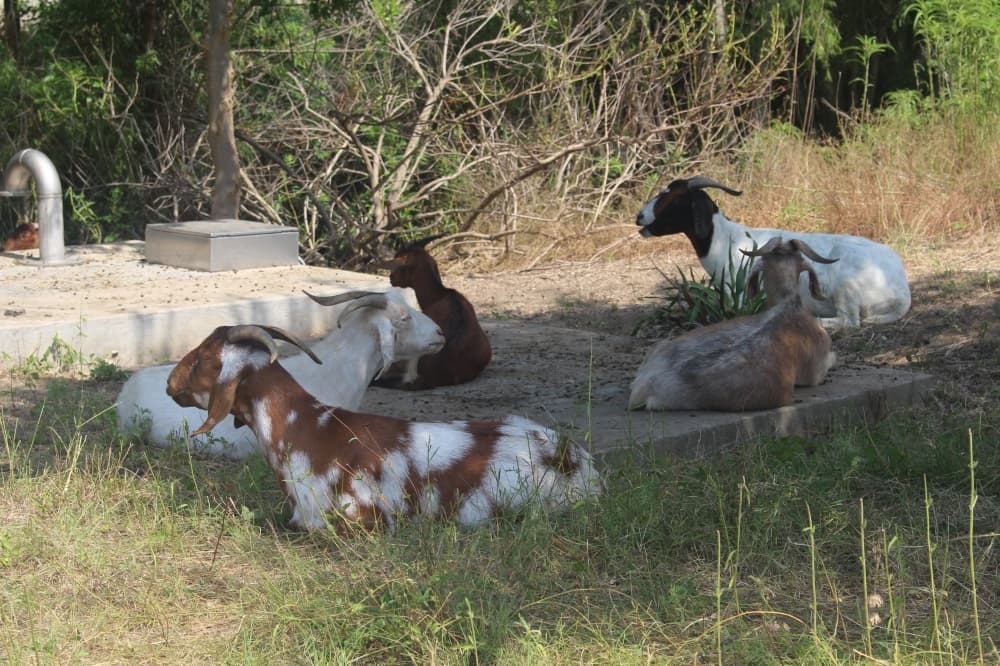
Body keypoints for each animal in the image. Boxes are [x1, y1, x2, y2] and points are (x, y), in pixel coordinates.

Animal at [635, 175, 911, 329]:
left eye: (672, 199)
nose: (639, 216)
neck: (725, 240)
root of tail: (902, 291)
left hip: (846, 287)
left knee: (849, 322)